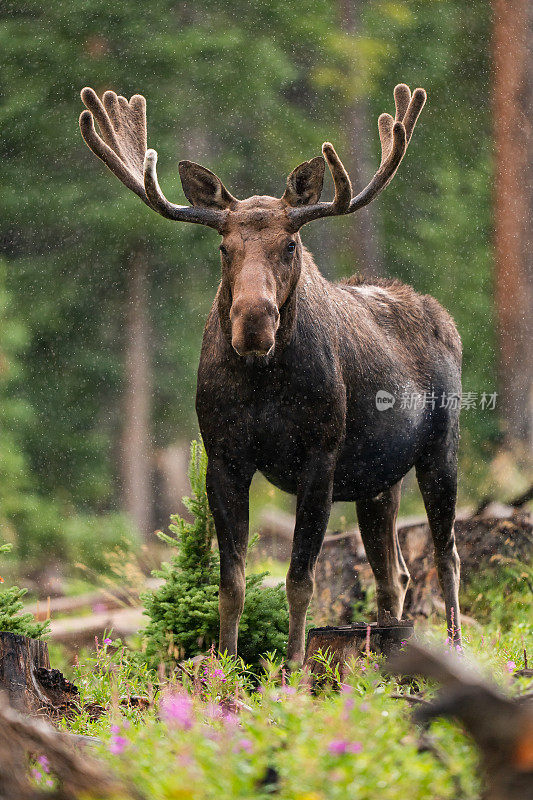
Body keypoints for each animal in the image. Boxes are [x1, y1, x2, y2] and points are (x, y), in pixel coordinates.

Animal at [80, 84, 462, 664]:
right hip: (379, 479)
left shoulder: (320, 458)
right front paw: (226, 663)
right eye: (224, 247)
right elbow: (231, 582)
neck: (263, 385)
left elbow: (299, 580)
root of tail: (446, 320)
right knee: (393, 571)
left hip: (441, 445)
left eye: (291, 244)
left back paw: (456, 648)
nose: (253, 324)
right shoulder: (224, 457)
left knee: (447, 556)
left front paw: (295, 664)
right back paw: (387, 644)